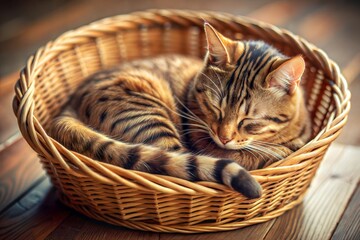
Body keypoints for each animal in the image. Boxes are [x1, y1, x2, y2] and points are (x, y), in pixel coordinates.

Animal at [50, 23, 312, 199]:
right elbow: (256, 155)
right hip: (150, 118)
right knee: (176, 162)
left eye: (249, 121)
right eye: (214, 107)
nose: (223, 138)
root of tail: (70, 104)